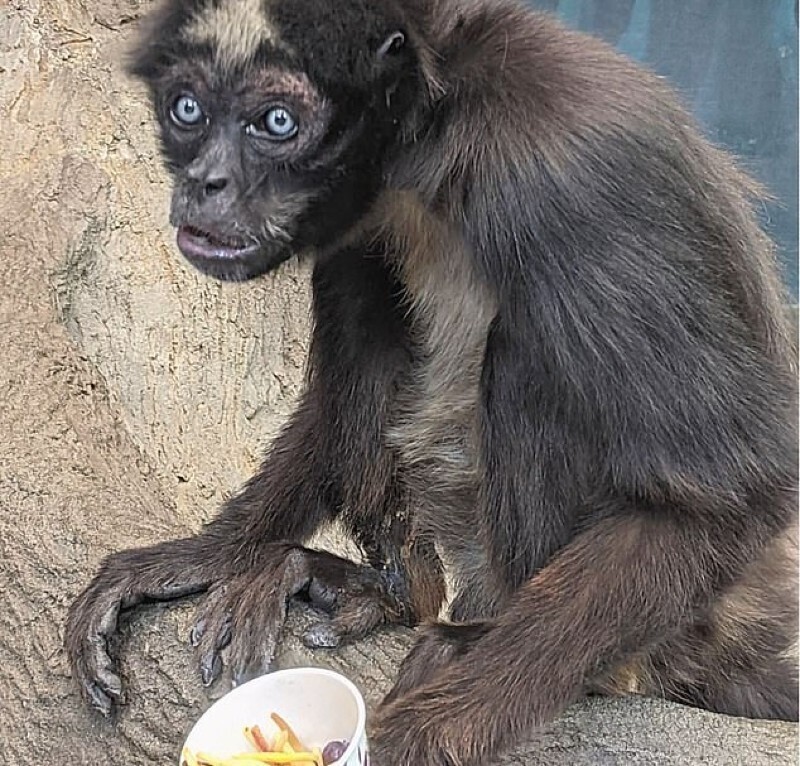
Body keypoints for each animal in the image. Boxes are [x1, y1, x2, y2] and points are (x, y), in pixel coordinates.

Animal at [65, 1, 796, 766]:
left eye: (277, 122)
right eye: (188, 111)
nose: (203, 181)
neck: (439, 135)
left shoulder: (570, 172)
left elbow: (730, 498)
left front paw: (427, 732)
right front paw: (203, 556)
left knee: (524, 352)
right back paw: (383, 592)